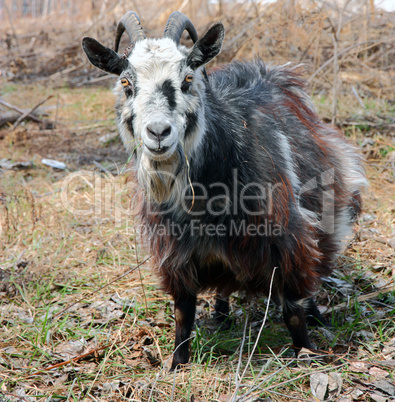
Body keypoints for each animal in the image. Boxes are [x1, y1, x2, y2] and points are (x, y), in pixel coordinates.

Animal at [83, 11, 368, 370]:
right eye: (126, 83)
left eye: (188, 79)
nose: (158, 132)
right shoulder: (175, 253)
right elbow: (183, 313)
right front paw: (177, 364)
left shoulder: (285, 239)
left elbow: (292, 309)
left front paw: (305, 353)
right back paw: (221, 313)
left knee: (313, 269)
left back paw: (316, 313)